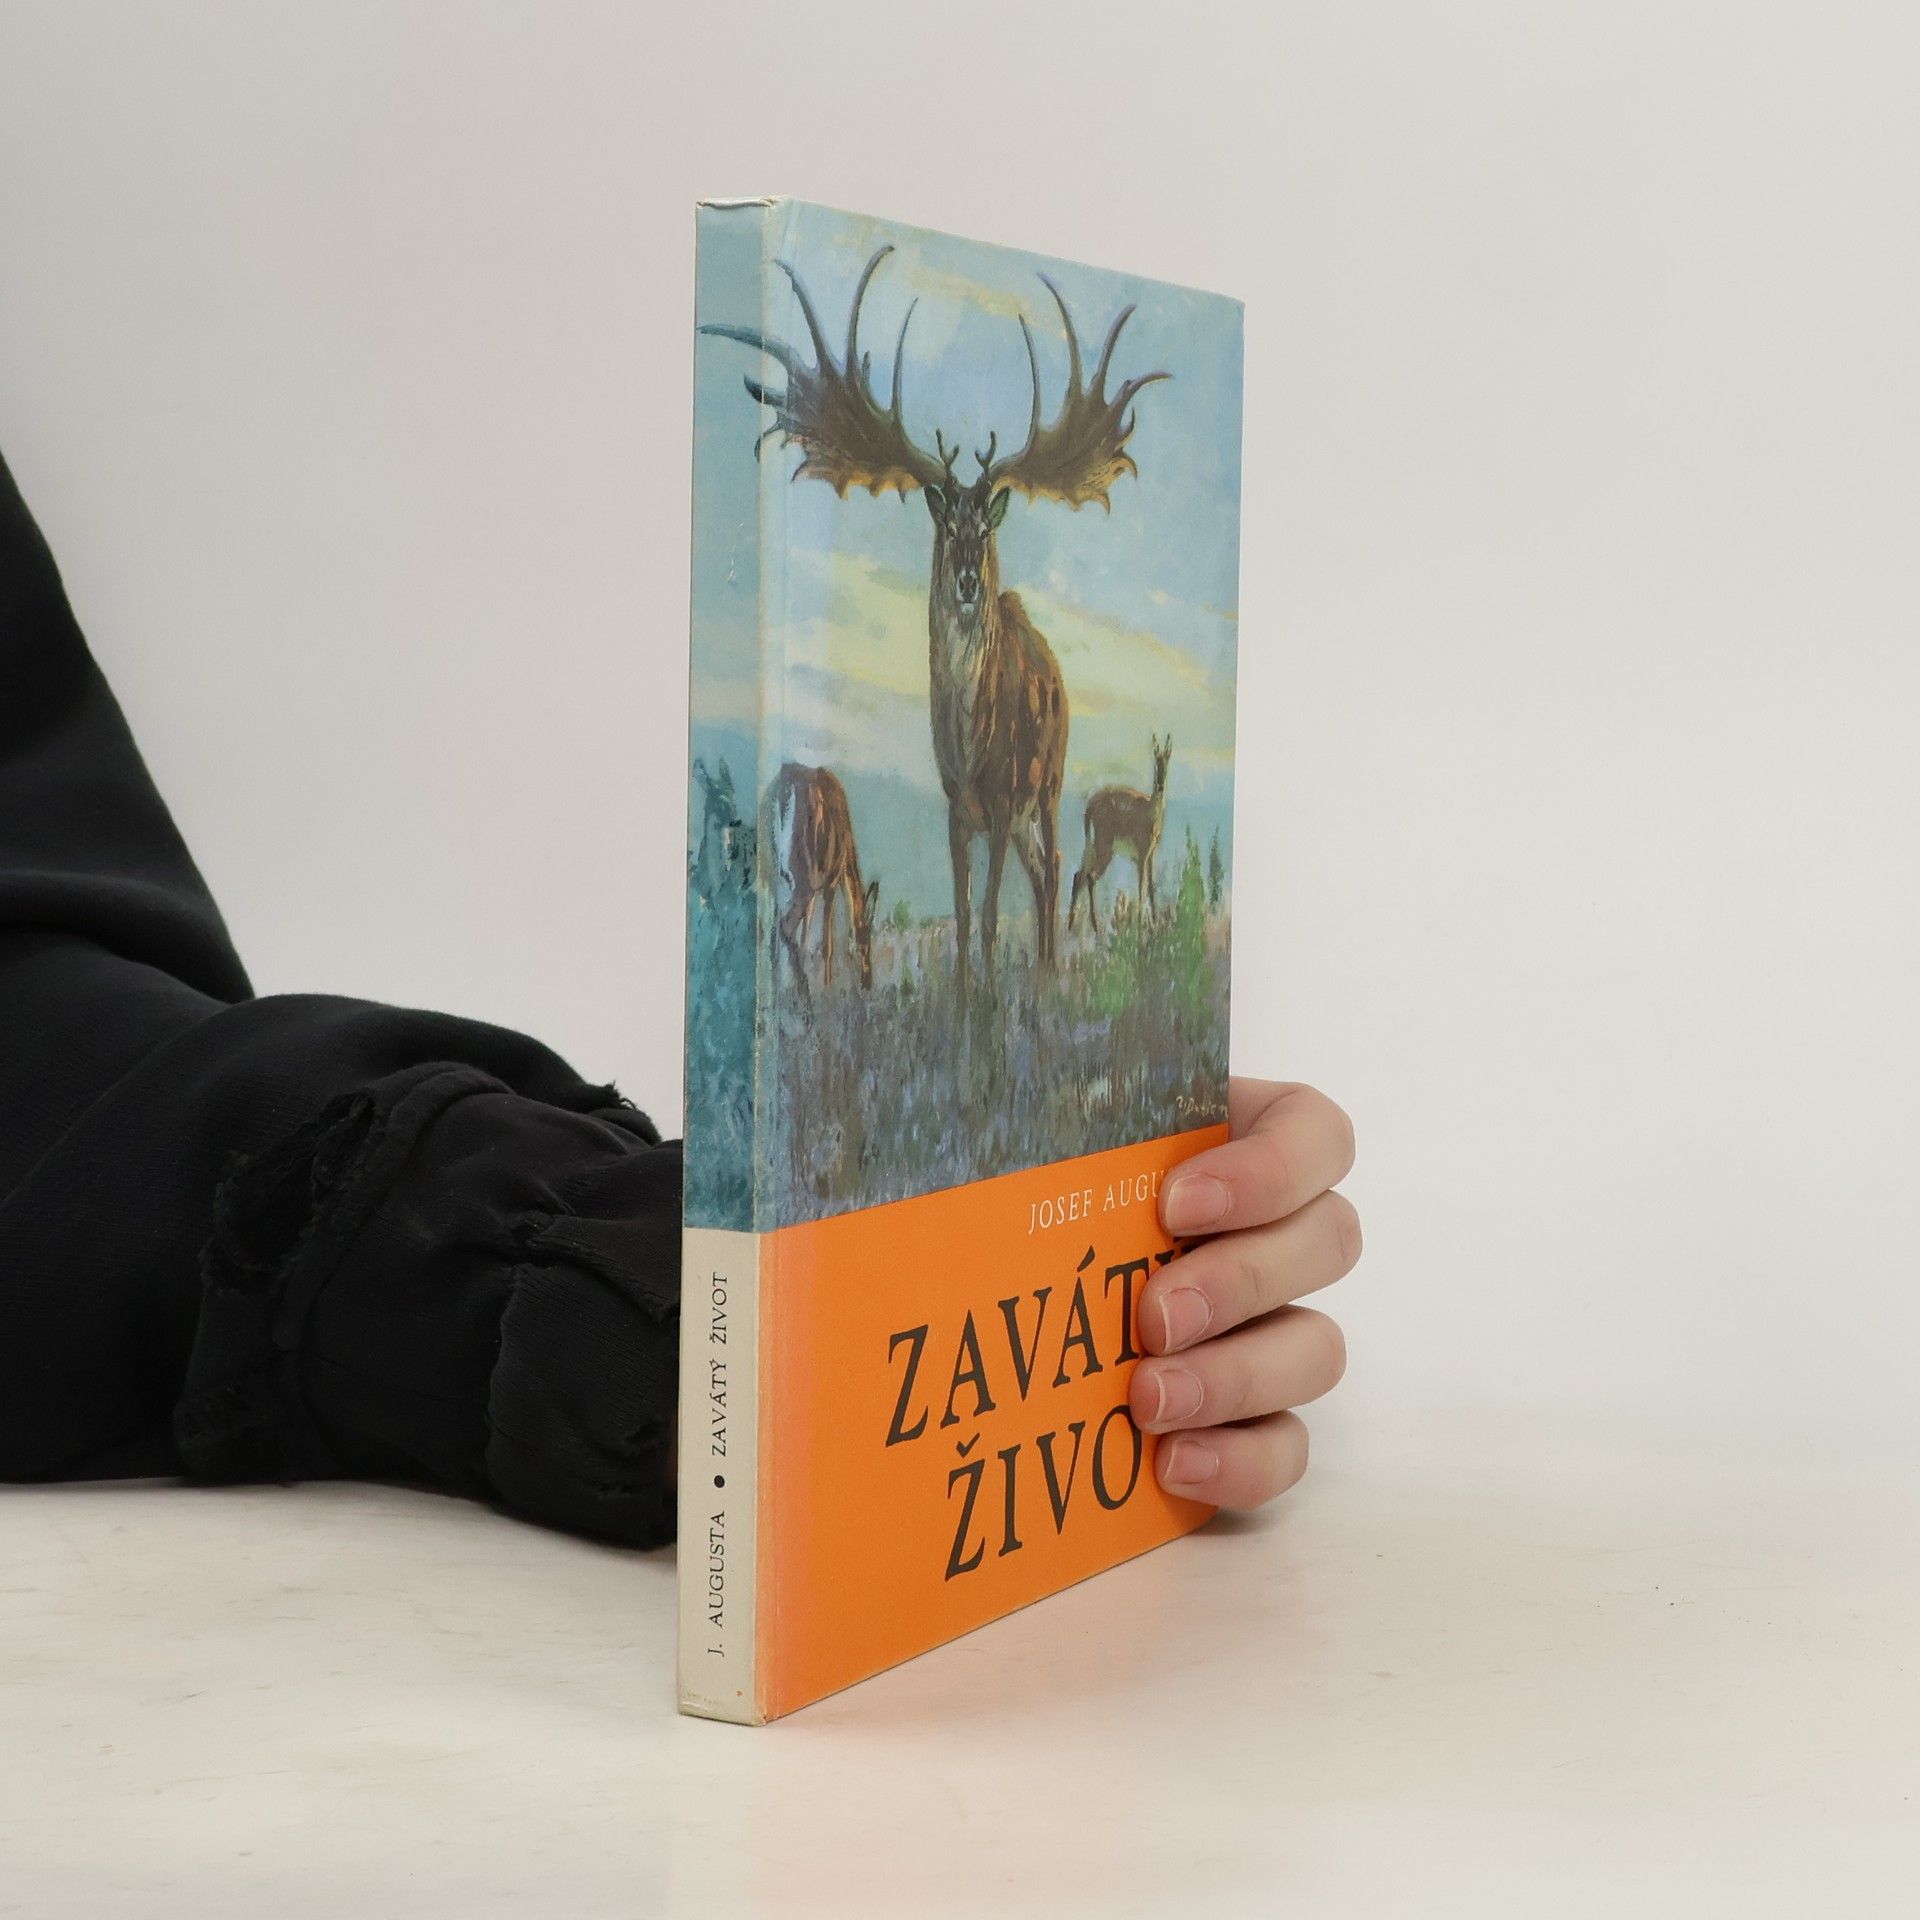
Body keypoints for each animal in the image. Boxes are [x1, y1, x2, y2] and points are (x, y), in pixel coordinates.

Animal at [760, 761, 879, 1005]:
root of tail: (785, 787)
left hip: (775, 876)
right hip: (801, 880)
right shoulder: (830, 882)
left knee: (773, 937)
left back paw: (775, 1002)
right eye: (865, 944)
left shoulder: (814, 892)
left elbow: (805, 938)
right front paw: (827, 990)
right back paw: (805, 997)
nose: (867, 982)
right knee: (785, 927)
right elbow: (827, 944)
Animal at [1068, 734, 1174, 936]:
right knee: (1090, 876)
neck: (1151, 812)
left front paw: (1155, 922)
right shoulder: (1141, 858)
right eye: (1155, 762)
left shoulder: (1151, 856)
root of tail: (1091, 804)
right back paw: (1095, 927)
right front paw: (1141, 926)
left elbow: (1151, 887)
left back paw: (1071, 925)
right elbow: (1141, 889)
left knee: (1079, 875)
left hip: (1092, 847)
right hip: (1105, 850)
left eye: (1167, 760)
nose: (1160, 785)